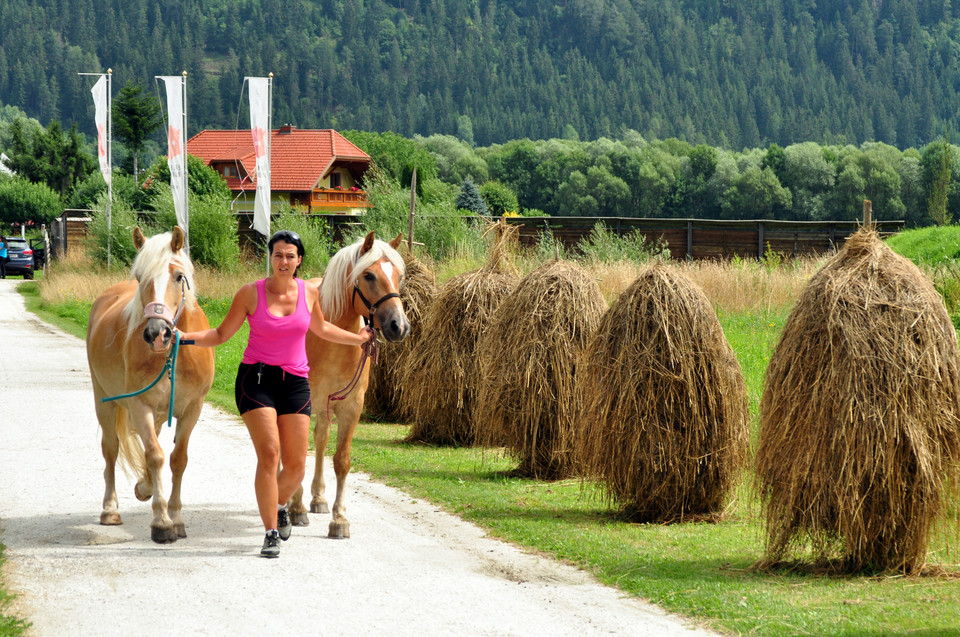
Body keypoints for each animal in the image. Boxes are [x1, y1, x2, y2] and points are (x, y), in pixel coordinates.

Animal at [86, 227, 214, 540]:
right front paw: (162, 521)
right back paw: (110, 509)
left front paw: (176, 517)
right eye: (140, 277)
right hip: (103, 400)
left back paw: (144, 487)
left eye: (178, 277)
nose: (157, 333)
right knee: (111, 448)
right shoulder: (140, 404)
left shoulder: (193, 409)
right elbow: (155, 455)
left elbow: (178, 459)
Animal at [292, 231, 412, 536]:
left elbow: (341, 460)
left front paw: (339, 518)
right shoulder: (302, 402)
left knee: (321, 438)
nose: (399, 326)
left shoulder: (352, 407)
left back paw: (319, 498)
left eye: (398, 275)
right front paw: (295, 507)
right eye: (368, 275)